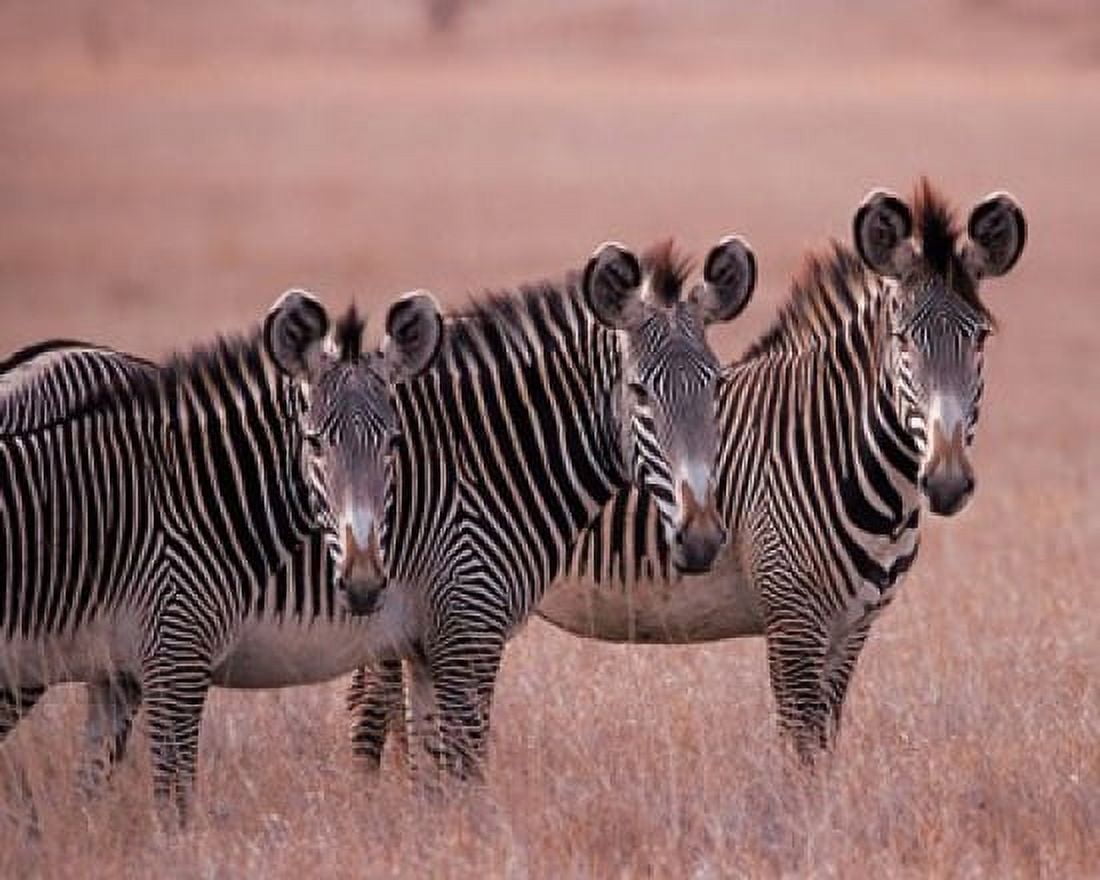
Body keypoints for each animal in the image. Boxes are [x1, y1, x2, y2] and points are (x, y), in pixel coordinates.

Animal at [537, 180, 1027, 759]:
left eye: (981, 338)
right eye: (901, 339)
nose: (947, 484)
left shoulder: (852, 626)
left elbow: (824, 740)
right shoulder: (792, 620)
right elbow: (801, 745)